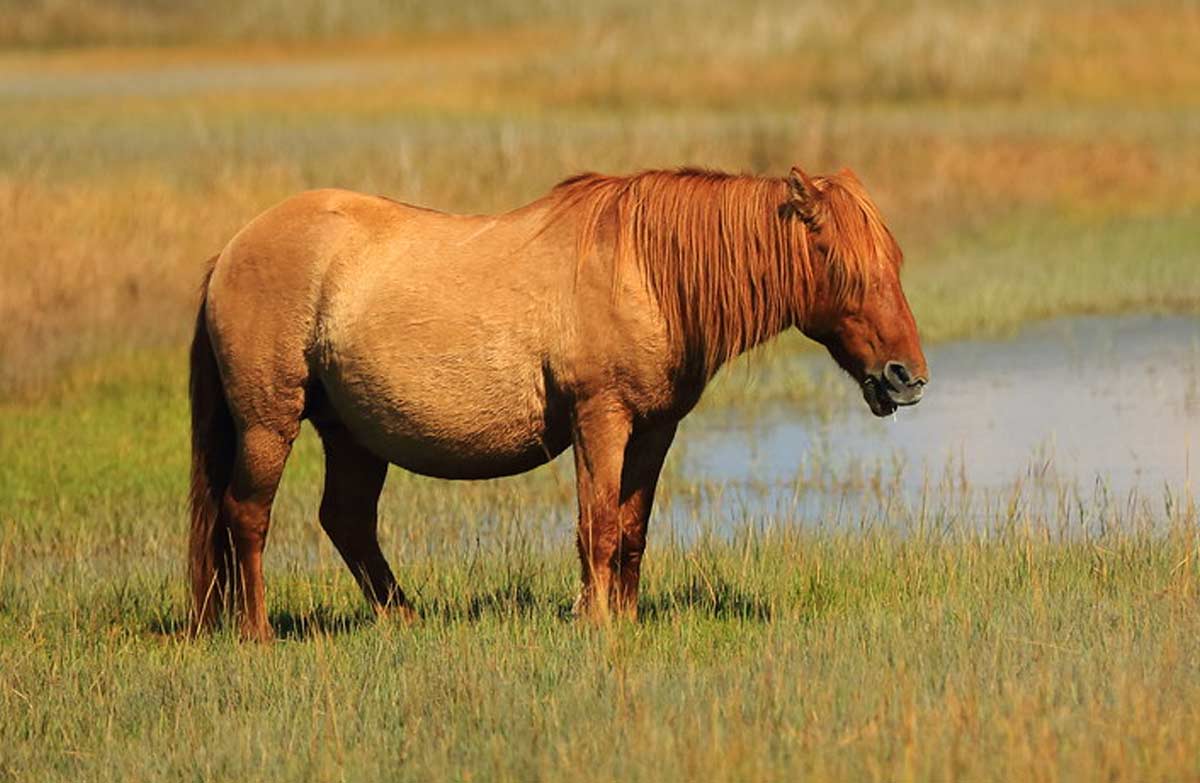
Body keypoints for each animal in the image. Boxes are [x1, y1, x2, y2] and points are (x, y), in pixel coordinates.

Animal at [188, 165, 928, 641]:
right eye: (844, 267)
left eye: (896, 262)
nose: (907, 377)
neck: (645, 270)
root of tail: (229, 252)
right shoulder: (599, 419)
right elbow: (596, 523)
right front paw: (595, 620)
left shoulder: (654, 430)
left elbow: (631, 527)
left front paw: (623, 616)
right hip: (269, 422)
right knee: (247, 514)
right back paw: (257, 633)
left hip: (353, 435)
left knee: (346, 521)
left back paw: (401, 618)